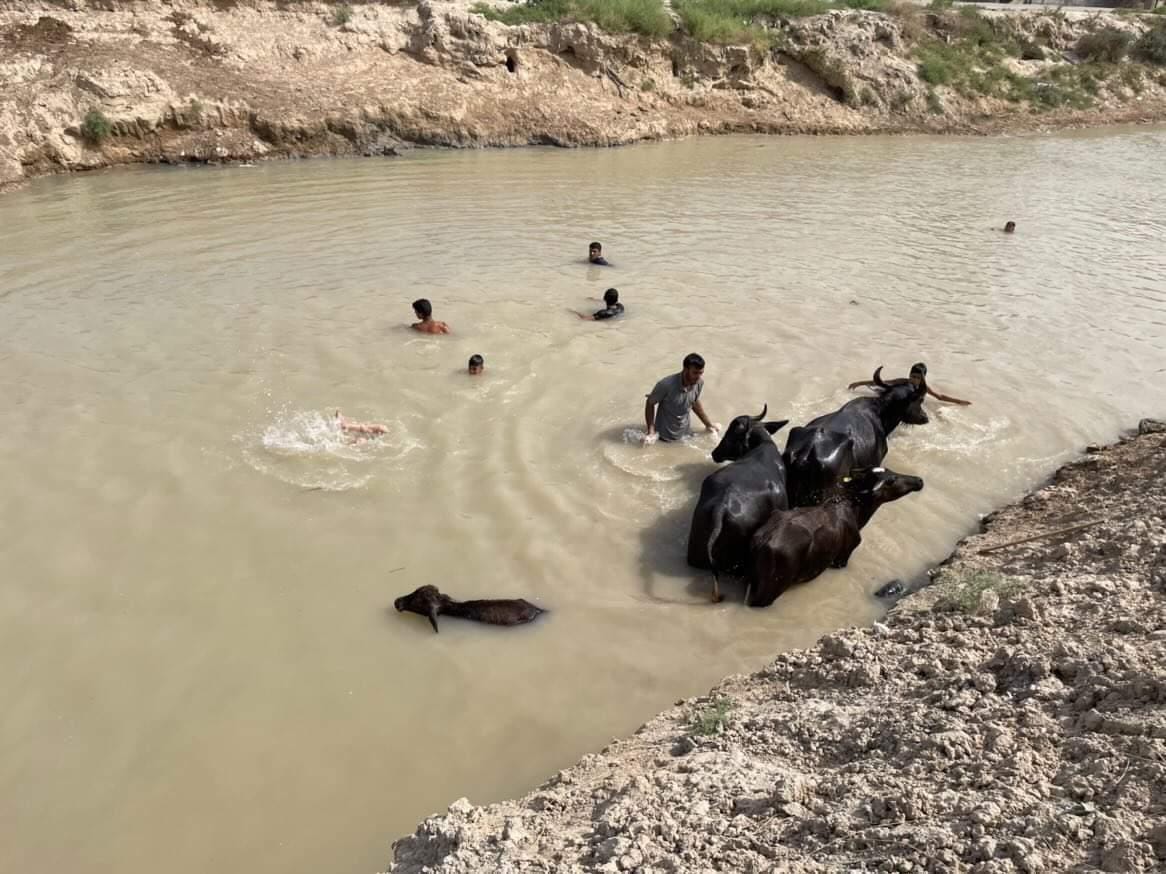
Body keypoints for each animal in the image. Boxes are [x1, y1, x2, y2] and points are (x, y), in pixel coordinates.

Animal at [746, 466, 928, 610]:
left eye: (891, 472)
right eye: (892, 479)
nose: (919, 480)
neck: (857, 511)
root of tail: (762, 541)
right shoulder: (843, 556)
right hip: (771, 589)